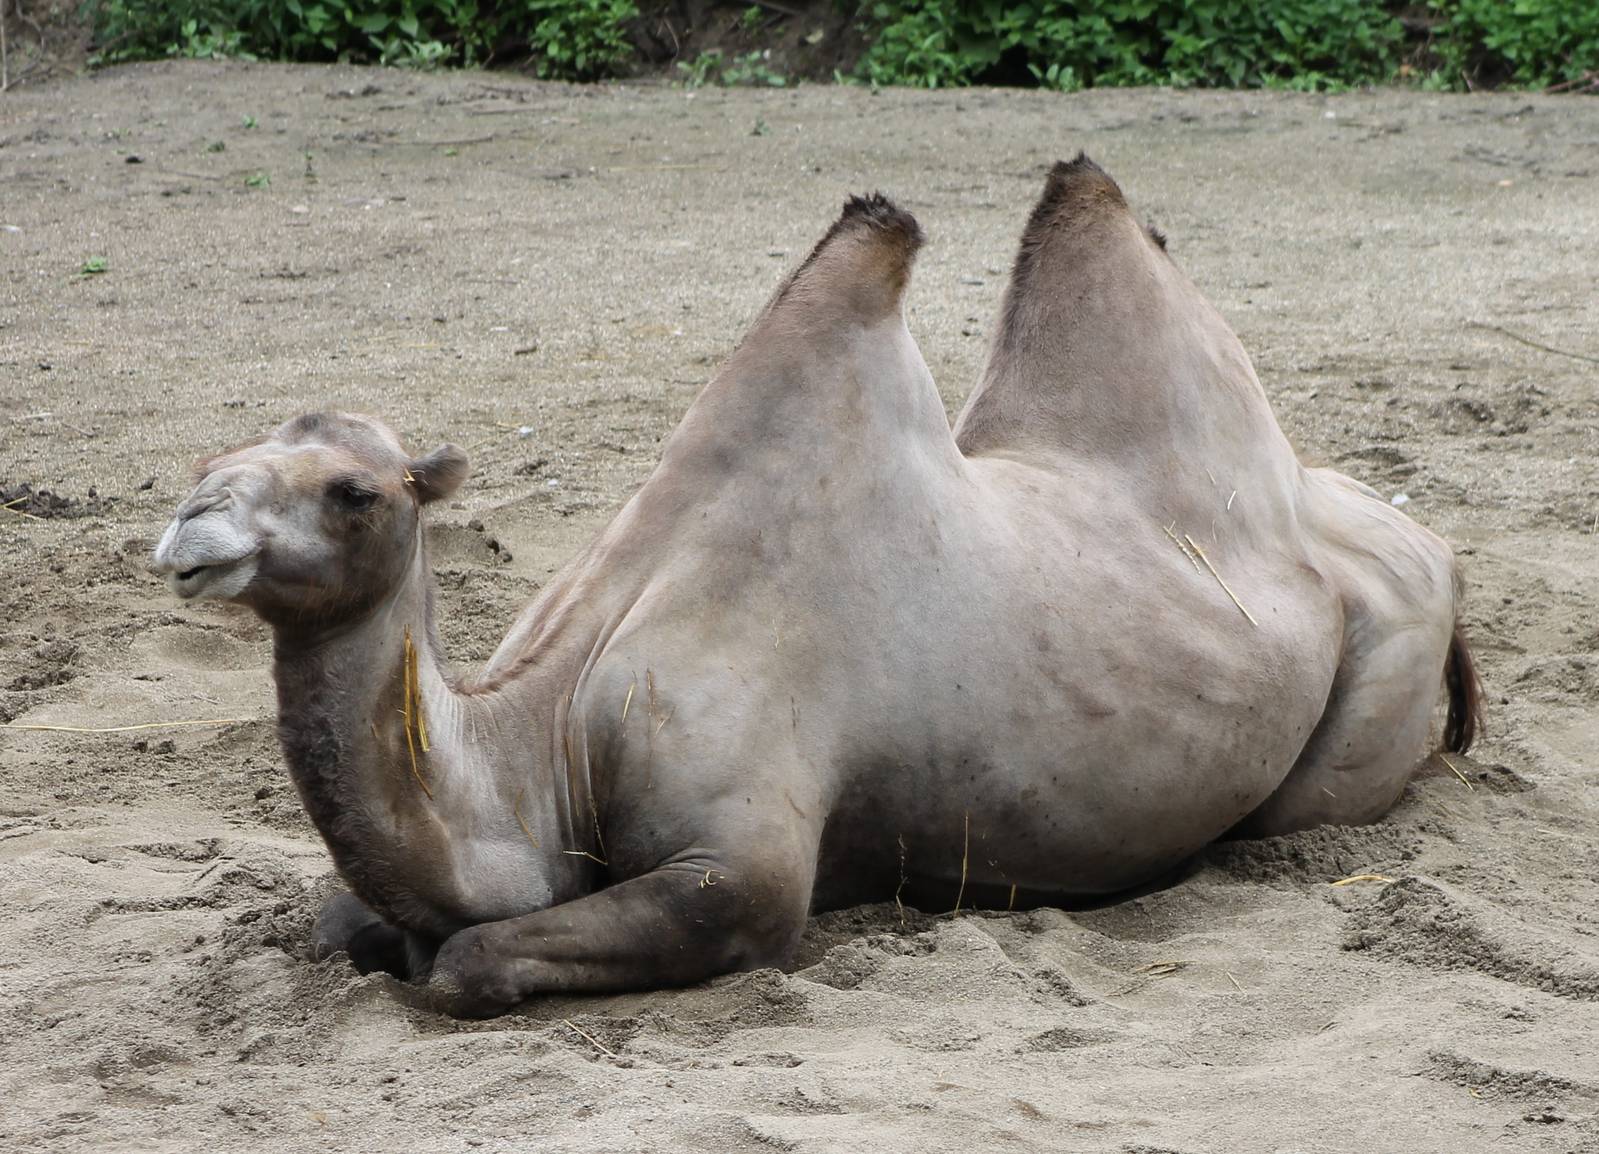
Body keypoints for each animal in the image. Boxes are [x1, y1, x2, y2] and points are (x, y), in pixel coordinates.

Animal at [154, 156, 1479, 1018]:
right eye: (216, 455)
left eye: (354, 490)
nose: (189, 528)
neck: (549, 736)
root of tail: (1429, 545)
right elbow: (343, 921)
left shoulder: (742, 868)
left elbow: (471, 959)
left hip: (1370, 688)